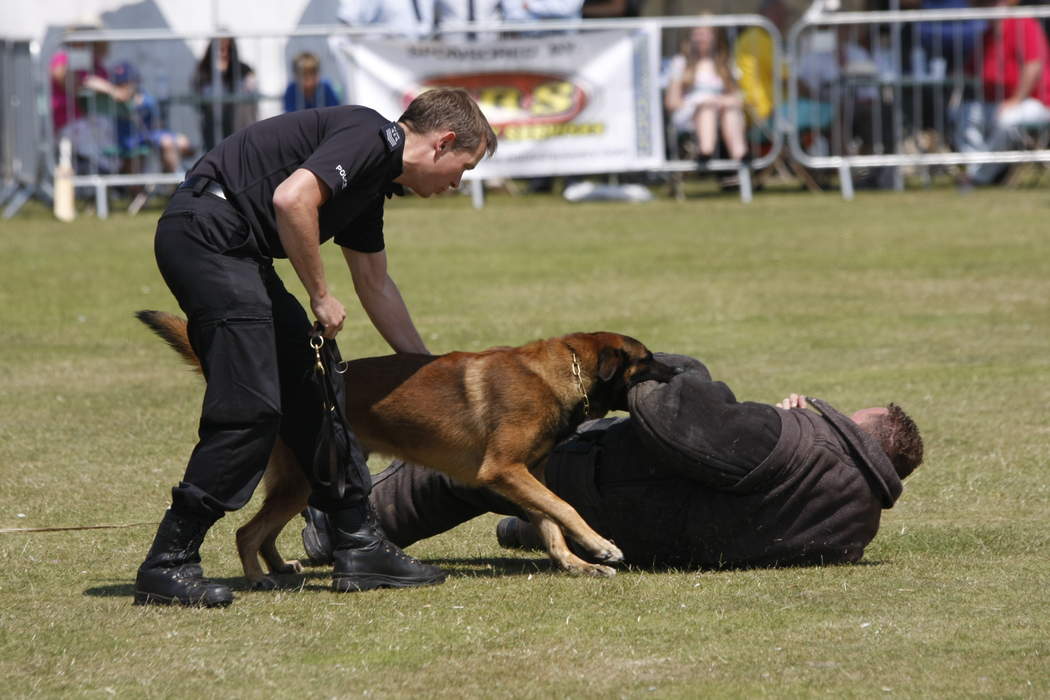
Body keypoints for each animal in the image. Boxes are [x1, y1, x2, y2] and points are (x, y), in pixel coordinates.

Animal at [137, 314, 672, 583]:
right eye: (647, 360)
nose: (677, 370)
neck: (561, 373)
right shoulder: (503, 472)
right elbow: (565, 508)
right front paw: (601, 546)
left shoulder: (526, 476)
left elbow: (550, 521)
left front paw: (575, 564)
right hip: (303, 480)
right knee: (245, 532)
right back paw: (259, 580)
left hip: (304, 482)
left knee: (263, 530)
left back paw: (281, 568)